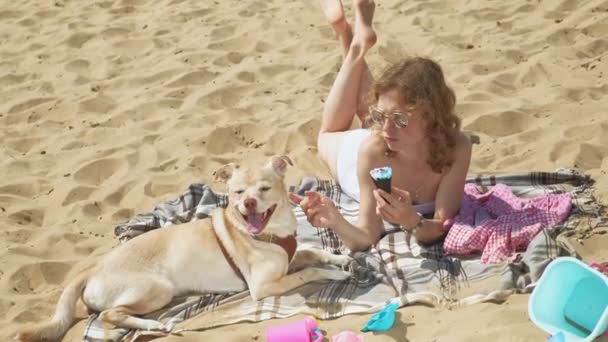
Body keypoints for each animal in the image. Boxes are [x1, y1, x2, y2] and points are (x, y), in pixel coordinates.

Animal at [16, 156, 350, 340]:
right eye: (237, 192)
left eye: (265, 189)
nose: (248, 203)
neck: (270, 233)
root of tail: (92, 269)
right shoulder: (263, 286)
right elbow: (309, 271)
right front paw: (334, 273)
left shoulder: (288, 258)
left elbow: (310, 252)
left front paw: (339, 257)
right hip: (157, 289)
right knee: (110, 315)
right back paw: (151, 323)